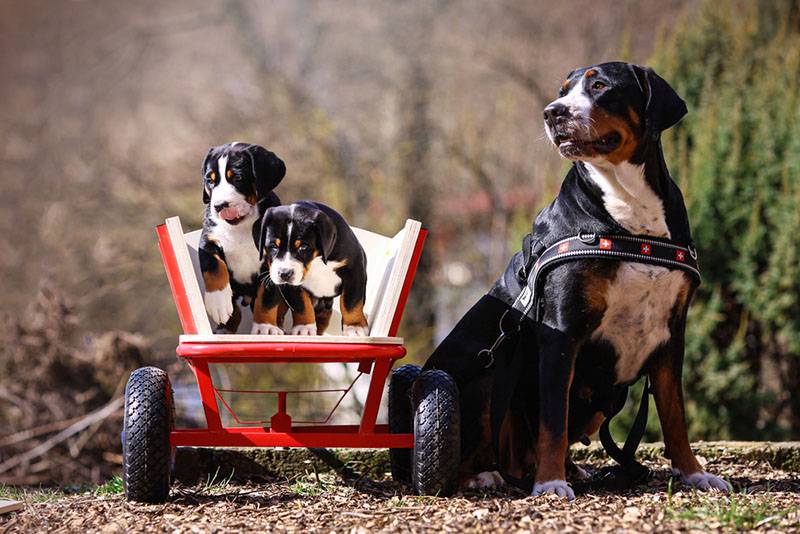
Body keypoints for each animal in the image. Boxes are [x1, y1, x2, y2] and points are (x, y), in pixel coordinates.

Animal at [198, 142, 286, 336]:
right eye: (210, 180)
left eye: (238, 178)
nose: (219, 206)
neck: (240, 227)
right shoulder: (209, 240)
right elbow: (214, 267)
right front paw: (218, 303)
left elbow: (267, 298)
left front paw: (265, 327)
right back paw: (225, 328)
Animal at [252, 203, 370, 338]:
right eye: (273, 246)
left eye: (303, 247)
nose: (284, 274)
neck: (316, 258)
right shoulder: (293, 285)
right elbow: (301, 305)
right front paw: (304, 327)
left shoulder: (354, 269)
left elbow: (351, 302)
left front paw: (354, 327)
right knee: (267, 300)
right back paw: (267, 327)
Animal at [424, 62, 732, 502]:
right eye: (562, 92)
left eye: (600, 85)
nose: (552, 113)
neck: (628, 216)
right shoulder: (561, 332)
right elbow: (553, 418)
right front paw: (551, 484)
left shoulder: (672, 334)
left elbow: (675, 415)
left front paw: (693, 473)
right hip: (487, 380)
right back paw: (487, 476)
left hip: (606, 393)